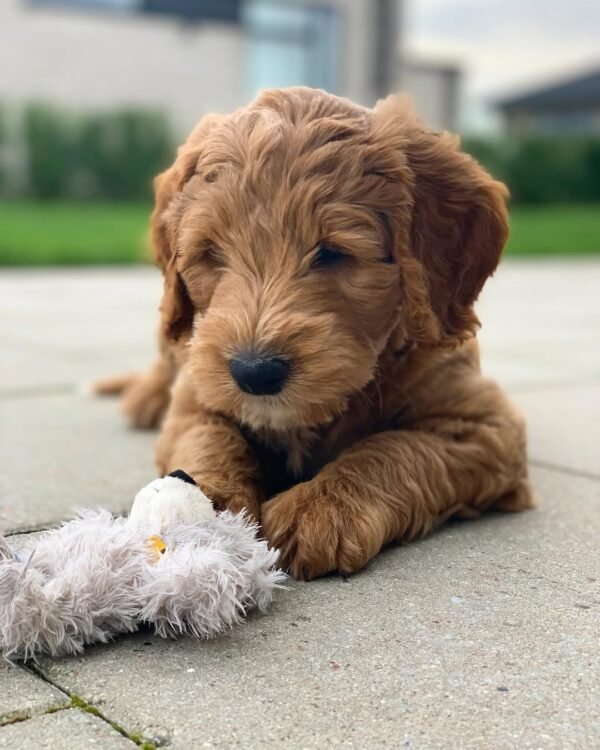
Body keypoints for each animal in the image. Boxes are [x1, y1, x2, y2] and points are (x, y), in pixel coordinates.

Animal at [105, 88, 532, 580]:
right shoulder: (197, 395)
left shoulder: (486, 426)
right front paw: (209, 507)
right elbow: (209, 438)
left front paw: (322, 507)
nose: (255, 373)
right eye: (210, 252)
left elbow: (395, 446)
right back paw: (145, 396)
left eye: (332, 253)